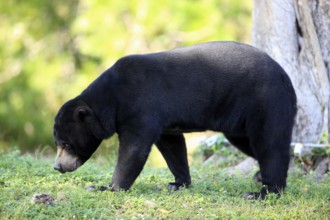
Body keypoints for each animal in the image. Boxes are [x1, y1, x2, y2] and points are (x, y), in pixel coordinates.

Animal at [52, 40, 296, 199]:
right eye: (58, 144)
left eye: (65, 144)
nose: (57, 166)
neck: (112, 98)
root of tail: (285, 76)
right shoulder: (164, 122)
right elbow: (173, 147)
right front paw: (178, 183)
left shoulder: (141, 106)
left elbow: (134, 149)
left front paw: (108, 188)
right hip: (240, 119)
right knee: (250, 144)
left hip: (266, 101)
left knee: (269, 143)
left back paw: (265, 191)